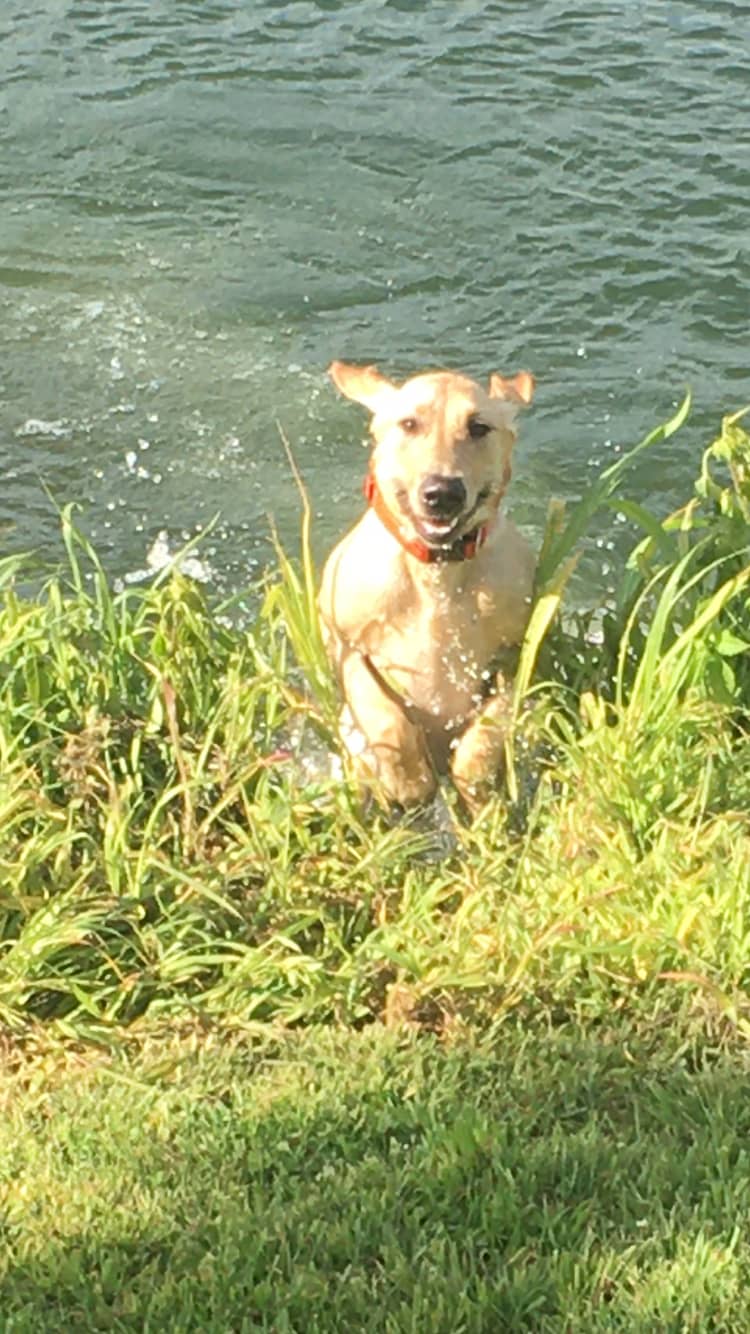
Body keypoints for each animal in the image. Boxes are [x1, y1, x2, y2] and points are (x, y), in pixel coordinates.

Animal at [317, 360, 533, 805]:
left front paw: (473, 777)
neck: (437, 572)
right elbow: (383, 714)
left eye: (478, 427)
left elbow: (490, 726)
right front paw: (410, 781)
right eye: (409, 423)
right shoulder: (344, 642)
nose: (442, 492)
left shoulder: (518, 653)